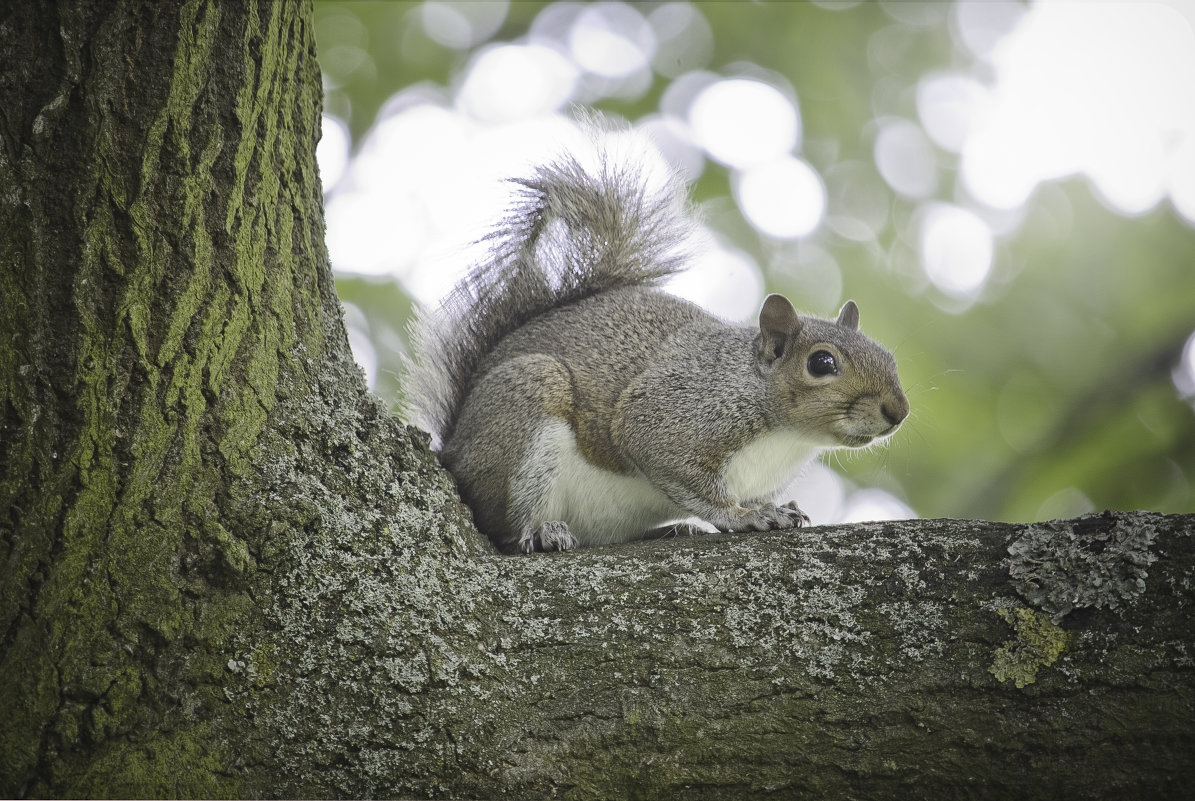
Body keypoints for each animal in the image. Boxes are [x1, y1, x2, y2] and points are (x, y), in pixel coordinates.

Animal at [406, 145, 908, 559]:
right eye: (822, 363)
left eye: (889, 357)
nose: (898, 411)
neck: (787, 438)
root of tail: (455, 447)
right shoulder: (676, 413)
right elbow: (664, 455)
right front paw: (745, 516)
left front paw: (778, 508)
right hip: (525, 406)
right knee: (503, 526)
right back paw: (541, 532)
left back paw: (670, 529)